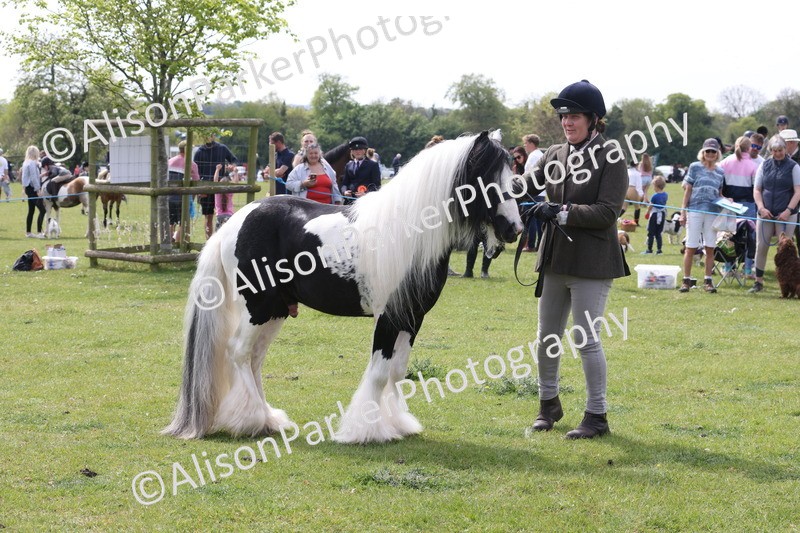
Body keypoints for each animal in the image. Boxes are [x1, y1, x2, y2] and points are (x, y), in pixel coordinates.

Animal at [163, 131, 523, 444]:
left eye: (513, 176)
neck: (408, 233)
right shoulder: (388, 317)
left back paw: (269, 419)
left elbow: (397, 372)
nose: (515, 228)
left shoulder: (412, 317)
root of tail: (233, 225)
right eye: (488, 178)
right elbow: (379, 374)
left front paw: (398, 424)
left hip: (276, 310)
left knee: (254, 359)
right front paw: (365, 431)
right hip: (257, 307)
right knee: (238, 352)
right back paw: (250, 421)